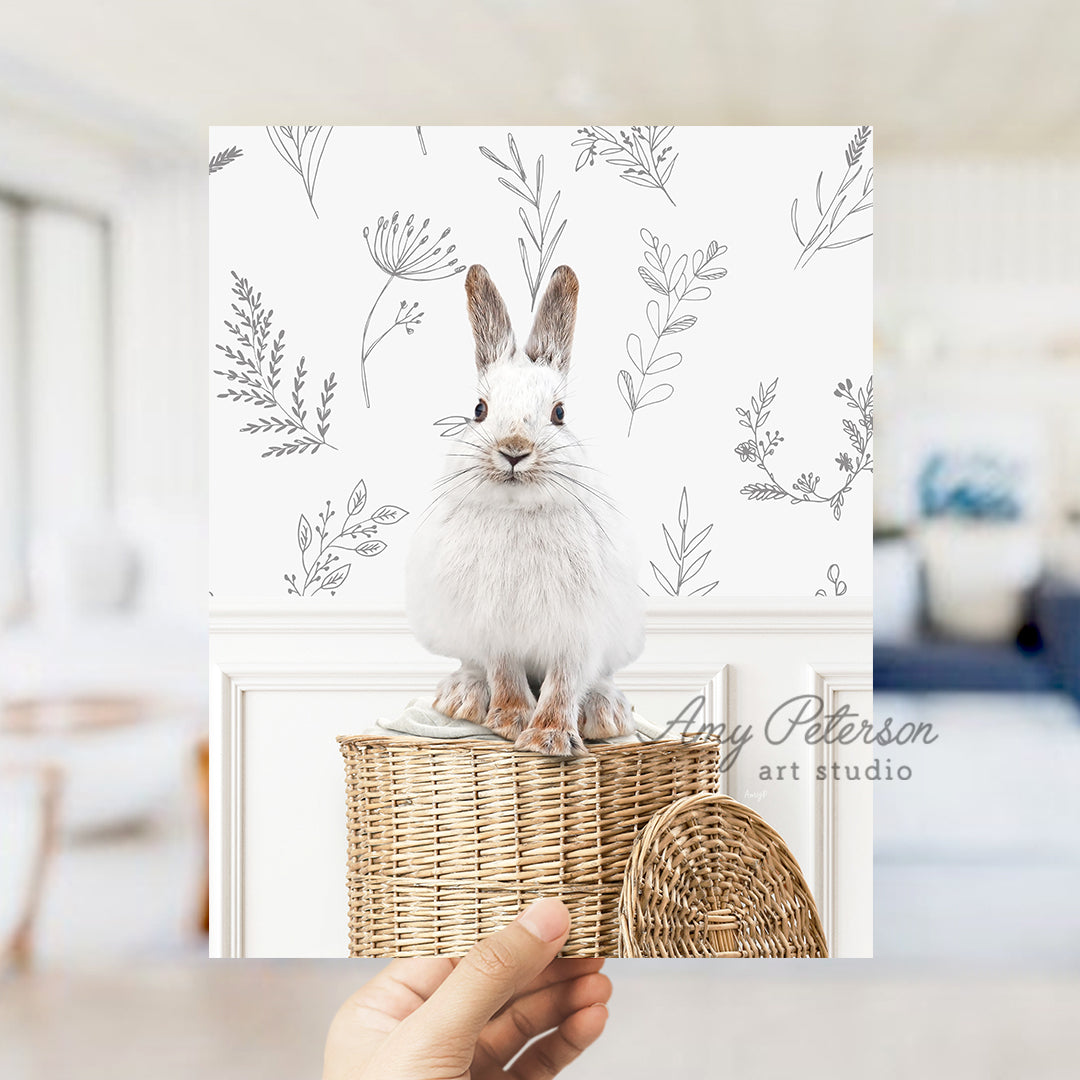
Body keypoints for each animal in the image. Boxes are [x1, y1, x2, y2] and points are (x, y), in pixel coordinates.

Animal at [403, 262, 639, 756]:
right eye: (479, 409)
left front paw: (548, 738)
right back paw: (462, 697)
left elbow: (565, 682)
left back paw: (606, 713)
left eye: (559, 413)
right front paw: (511, 722)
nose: (514, 450)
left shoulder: (578, 629)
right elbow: (505, 672)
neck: (517, 512)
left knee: (599, 679)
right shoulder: (493, 625)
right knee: (472, 666)